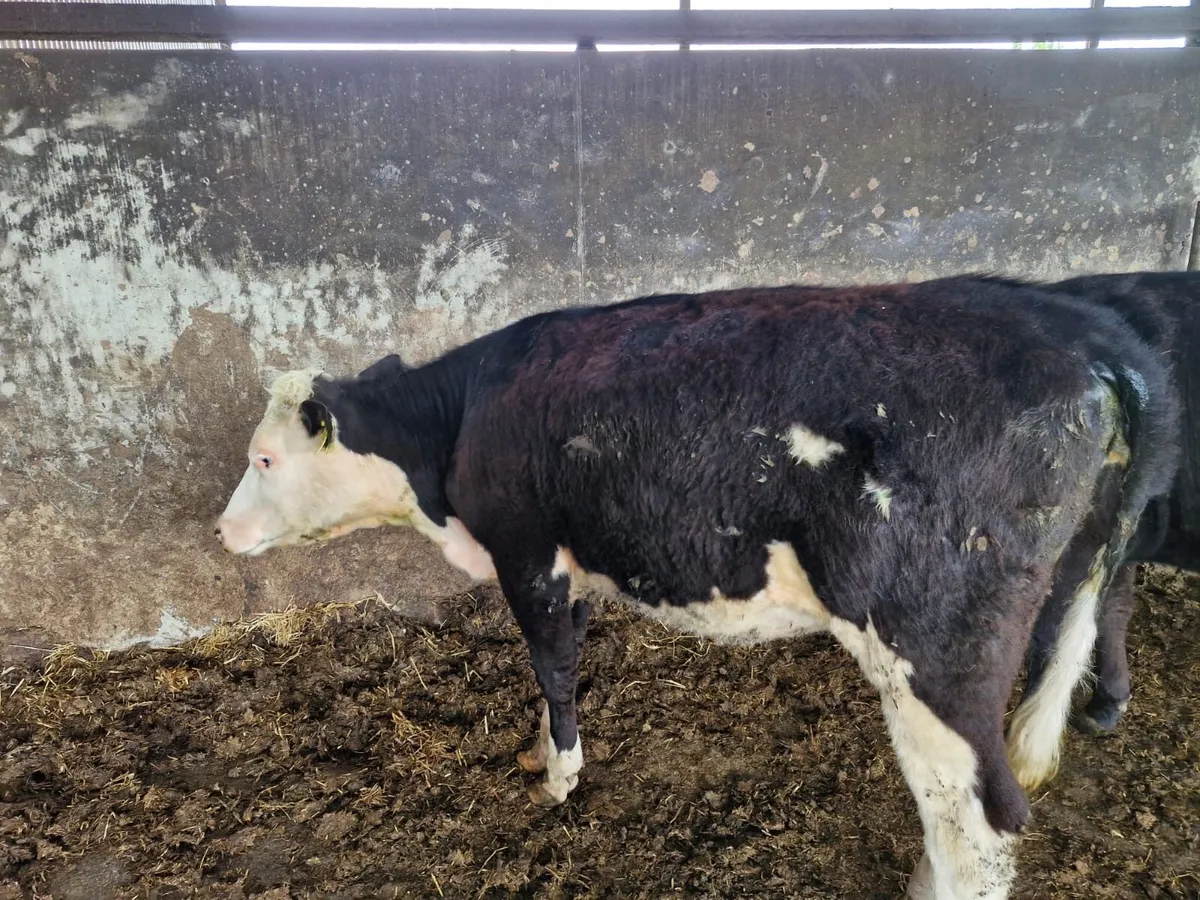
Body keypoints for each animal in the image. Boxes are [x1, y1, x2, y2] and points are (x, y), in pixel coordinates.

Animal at [214, 275, 1178, 900]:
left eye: (263, 459)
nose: (220, 532)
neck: (462, 425)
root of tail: (1083, 335)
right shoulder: (574, 563)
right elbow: (562, 670)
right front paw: (538, 751)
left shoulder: (529, 555)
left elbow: (552, 669)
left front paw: (558, 780)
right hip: (1067, 585)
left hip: (935, 652)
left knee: (979, 824)